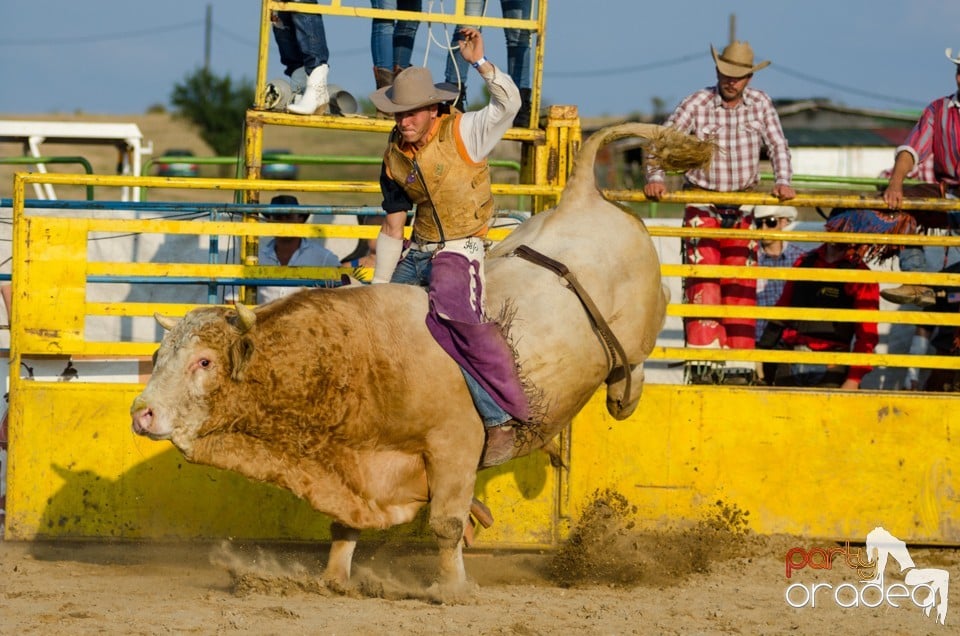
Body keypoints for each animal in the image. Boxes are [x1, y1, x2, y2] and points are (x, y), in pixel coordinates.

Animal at [131, 123, 708, 592]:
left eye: (204, 362)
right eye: (159, 355)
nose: (142, 413)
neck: (360, 361)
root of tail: (580, 196)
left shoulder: (454, 446)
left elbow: (447, 524)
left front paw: (451, 588)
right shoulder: (360, 471)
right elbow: (346, 525)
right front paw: (333, 578)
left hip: (638, 324)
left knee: (635, 355)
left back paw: (623, 396)